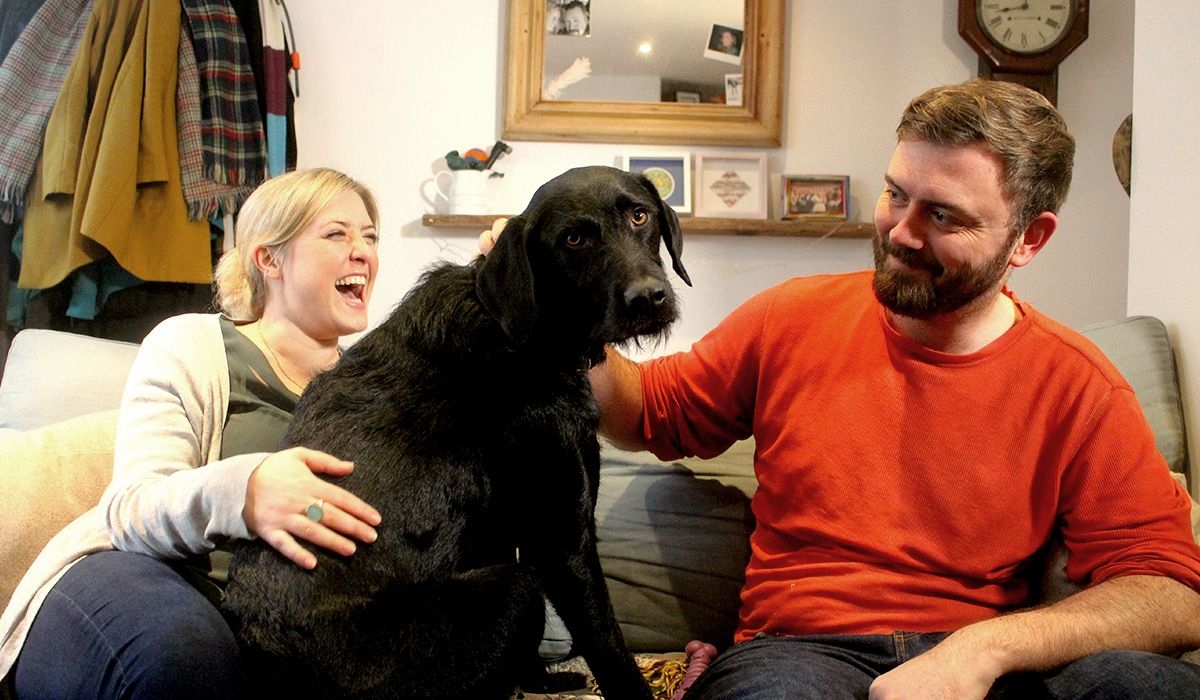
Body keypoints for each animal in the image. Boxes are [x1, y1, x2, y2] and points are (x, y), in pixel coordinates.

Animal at [223, 166, 696, 696]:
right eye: (574, 239)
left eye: (640, 215)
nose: (648, 297)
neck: (528, 334)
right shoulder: (559, 538)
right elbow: (607, 644)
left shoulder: (501, 530)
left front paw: (541, 678)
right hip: (514, 589)